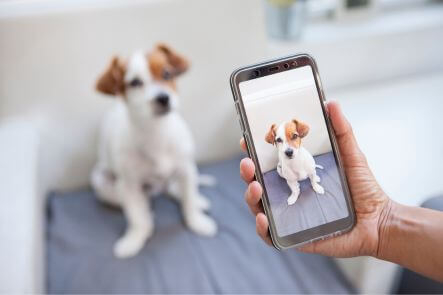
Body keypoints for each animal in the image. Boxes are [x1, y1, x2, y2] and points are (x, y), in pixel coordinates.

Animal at [91, 43, 219, 260]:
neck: (157, 132)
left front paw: (197, 221)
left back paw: (197, 200)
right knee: (134, 202)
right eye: (134, 82)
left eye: (167, 73)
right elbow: (136, 217)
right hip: (102, 180)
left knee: (177, 190)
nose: (163, 98)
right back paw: (147, 212)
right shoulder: (129, 184)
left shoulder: (186, 169)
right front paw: (134, 239)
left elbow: (188, 201)